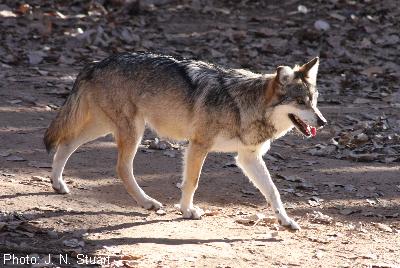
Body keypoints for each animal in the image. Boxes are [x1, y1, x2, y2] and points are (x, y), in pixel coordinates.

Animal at [43, 52, 324, 230]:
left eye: (315, 100)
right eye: (301, 102)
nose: (322, 122)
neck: (242, 104)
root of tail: (95, 62)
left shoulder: (248, 157)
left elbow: (273, 192)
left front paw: (286, 222)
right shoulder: (198, 146)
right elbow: (192, 182)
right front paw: (187, 211)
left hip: (105, 128)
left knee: (66, 143)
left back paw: (58, 183)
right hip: (132, 131)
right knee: (120, 167)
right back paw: (147, 202)